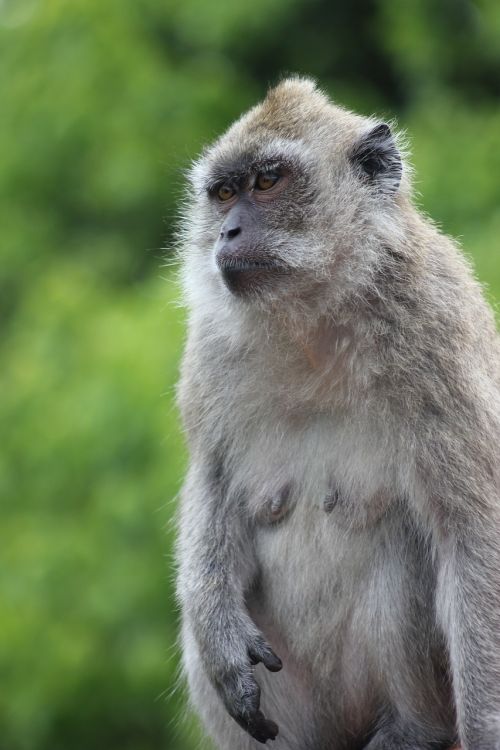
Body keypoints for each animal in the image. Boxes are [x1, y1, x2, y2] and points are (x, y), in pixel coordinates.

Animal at [175, 78, 500, 750]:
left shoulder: (444, 339)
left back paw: (414, 729)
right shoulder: (210, 354)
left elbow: (473, 536)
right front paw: (220, 636)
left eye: (268, 181)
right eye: (224, 194)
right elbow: (212, 483)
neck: (314, 325)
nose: (227, 234)